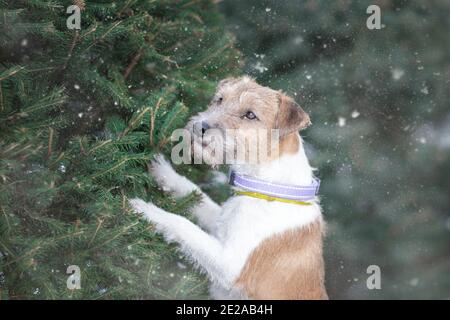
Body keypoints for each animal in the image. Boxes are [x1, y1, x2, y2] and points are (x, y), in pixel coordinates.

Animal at [130, 75, 326, 300]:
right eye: (220, 99)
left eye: (250, 114)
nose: (199, 127)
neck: (269, 186)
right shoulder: (220, 222)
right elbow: (197, 195)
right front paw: (164, 172)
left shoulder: (229, 264)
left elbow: (182, 224)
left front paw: (145, 210)